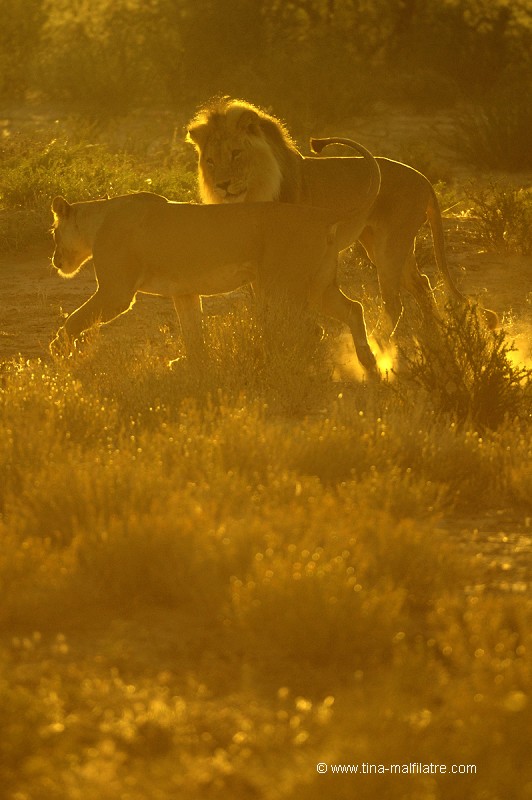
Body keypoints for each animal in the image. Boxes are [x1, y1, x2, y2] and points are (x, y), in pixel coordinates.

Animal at [51, 191, 378, 376]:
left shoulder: (116, 293)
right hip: (318, 287)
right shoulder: (184, 292)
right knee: (353, 309)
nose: (54, 260)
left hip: (281, 286)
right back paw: (370, 362)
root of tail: (320, 214)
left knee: (310, 330)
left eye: (53, 232)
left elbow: (76, 318)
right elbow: (193, 332)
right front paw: (189, 365)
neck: (97, 220)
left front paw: (59, 347)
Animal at [187, 97, 498, 334]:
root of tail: (423, 178)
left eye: (236, 153)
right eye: (210, 161)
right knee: (421, 284)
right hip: (383, 244)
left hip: (389, 247)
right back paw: (434, 336)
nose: (222, 185)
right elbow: (262, 306)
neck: (252, 196)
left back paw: (385, 342)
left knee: (395, 303)